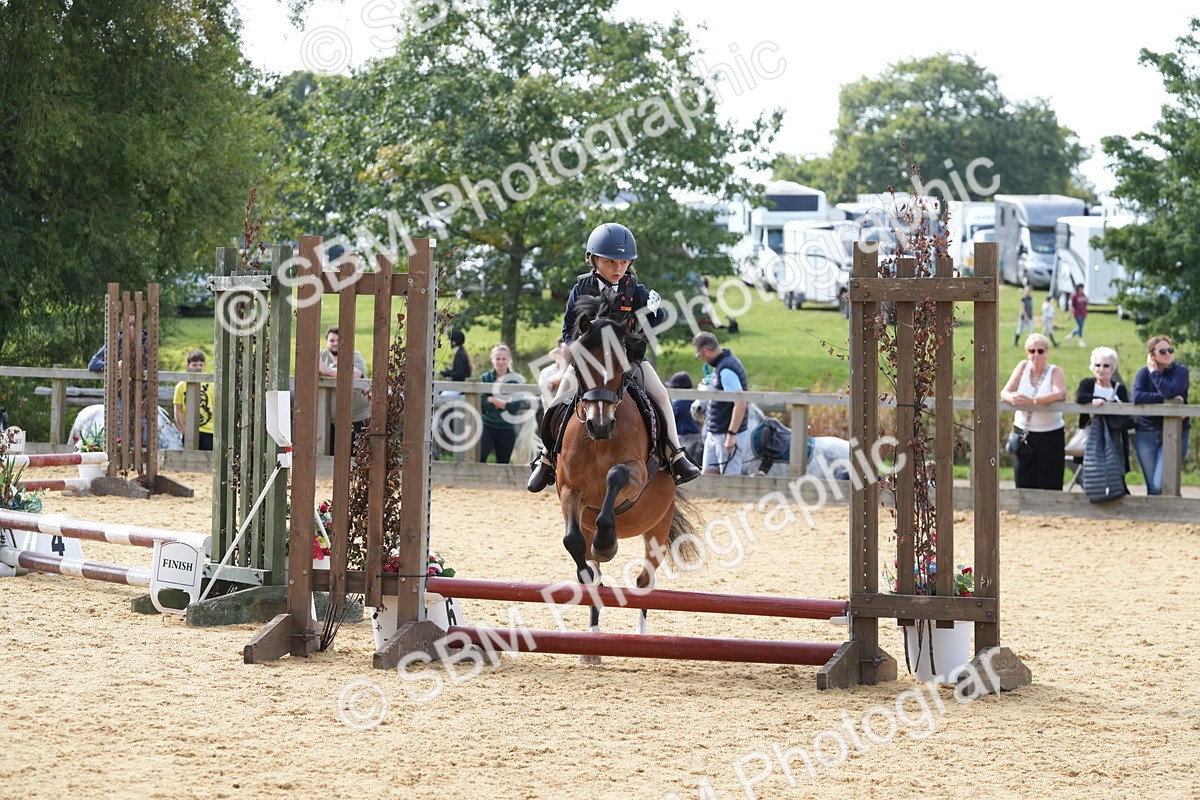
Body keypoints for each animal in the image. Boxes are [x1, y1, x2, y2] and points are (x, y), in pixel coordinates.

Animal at [555, 295, 700, 660]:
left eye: (620, 369)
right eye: (580, 366)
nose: (600, 424)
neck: (600, 441)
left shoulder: (635, 473)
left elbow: (616, 476)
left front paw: (608, 541)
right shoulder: (570, 490)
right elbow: (575, 545)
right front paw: (593, 567)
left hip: (658, 530)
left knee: (644, 583)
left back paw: (641, 638)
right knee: (596, 570)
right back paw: (592, 643)